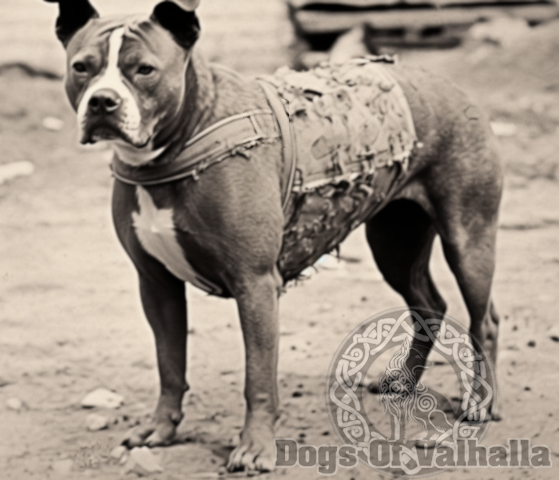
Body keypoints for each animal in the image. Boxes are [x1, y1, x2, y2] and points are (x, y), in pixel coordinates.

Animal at [46, 0, 506, 472]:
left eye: (144, 70)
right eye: (81, 67)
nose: (102, 101)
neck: (178, 142)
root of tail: (450, 84)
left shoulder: (255, 285)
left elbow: (258, 377)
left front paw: (254, 447)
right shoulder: (156, 284)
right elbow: (170, 364)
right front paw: (160, 428)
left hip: (468, 237)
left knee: (484, 318)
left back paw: (479, 402)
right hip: (394, 244)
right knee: (428, 304)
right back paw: (405, 380)